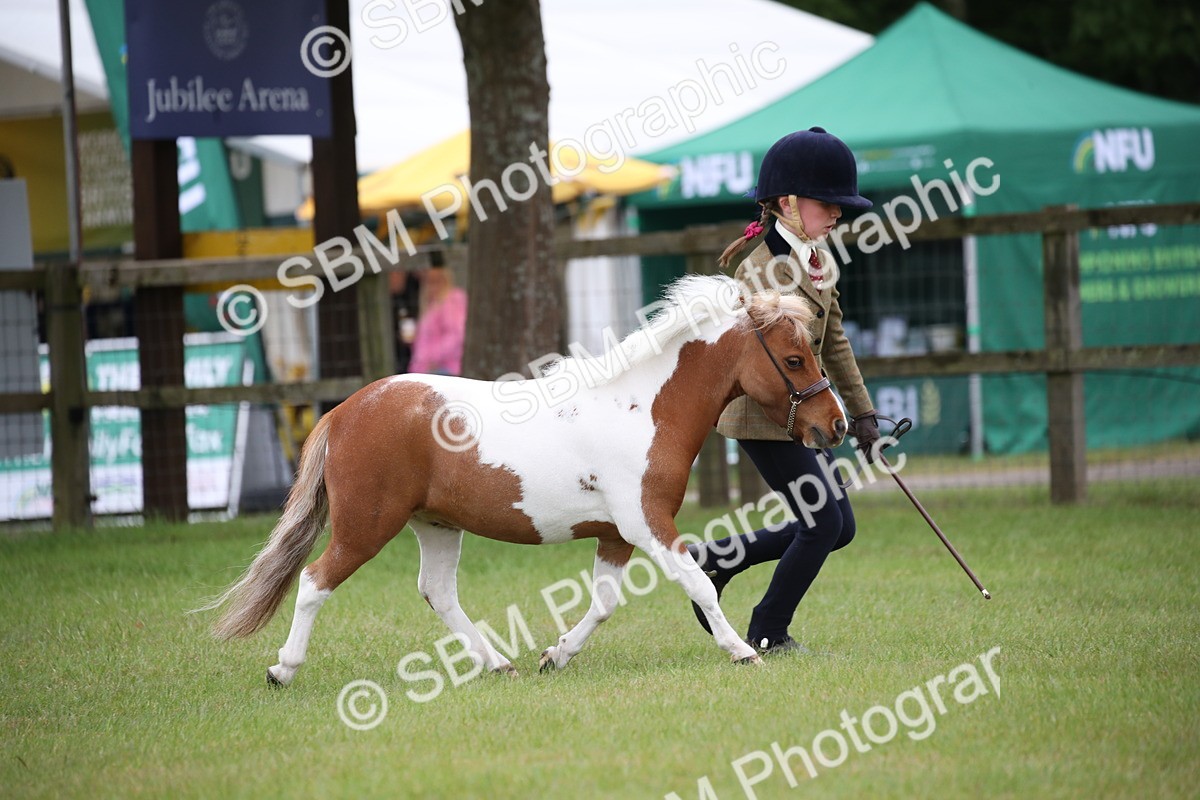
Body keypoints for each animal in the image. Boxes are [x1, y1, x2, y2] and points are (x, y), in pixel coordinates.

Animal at [203, 274, 847, 684]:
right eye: (794, 359)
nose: (835, 425)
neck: (642, 406)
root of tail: (345, 410)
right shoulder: (648, 523)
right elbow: (700, 585)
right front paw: (741, 652)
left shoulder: (616, 535)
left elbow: (604, 604)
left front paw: (555, 656)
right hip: (367, 525)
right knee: (315, 582)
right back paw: (282, 669)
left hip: (435, 525)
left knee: (437, 592)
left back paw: (498, 664)